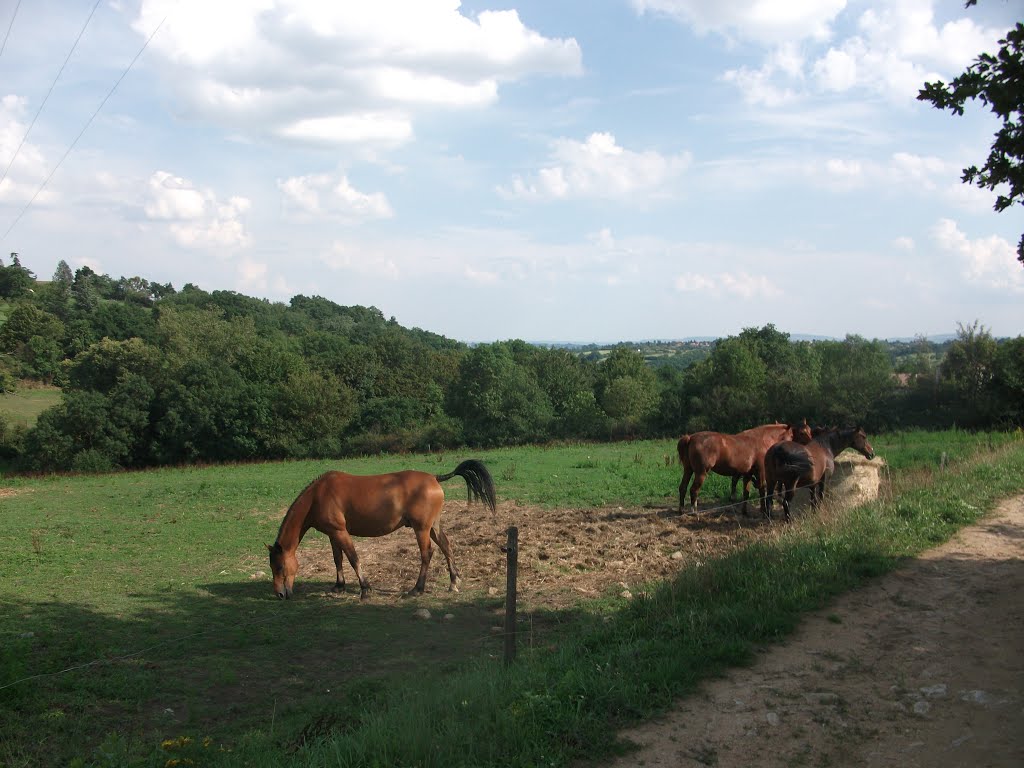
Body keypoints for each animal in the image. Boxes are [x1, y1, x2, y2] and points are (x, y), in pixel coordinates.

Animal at [268, 456, 495, 602]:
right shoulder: (333, 534)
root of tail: (434, 478)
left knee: (427, 553)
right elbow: (337, 559)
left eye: (279, 567)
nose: (280, 594)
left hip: (421, 529)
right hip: (433, 526)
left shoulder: (341, 532)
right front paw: (339, 586)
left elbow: (353, 558)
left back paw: (417, 589)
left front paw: (365, 590)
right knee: (446, 547)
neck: (318, 496)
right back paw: (453, 582)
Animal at [675, 421, 811, 518]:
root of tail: (690, 438)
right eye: (794, 434)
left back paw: (681, 510)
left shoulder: (747, 474)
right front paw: (763, 511)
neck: (762, 440)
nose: (809, 442)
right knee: (694, 490)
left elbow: (746, 493)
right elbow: (762, 489)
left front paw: (745, 512)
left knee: (683, 487)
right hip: (701, 473)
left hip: (688, 470)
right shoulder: (760, 472)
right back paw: (694, 512)